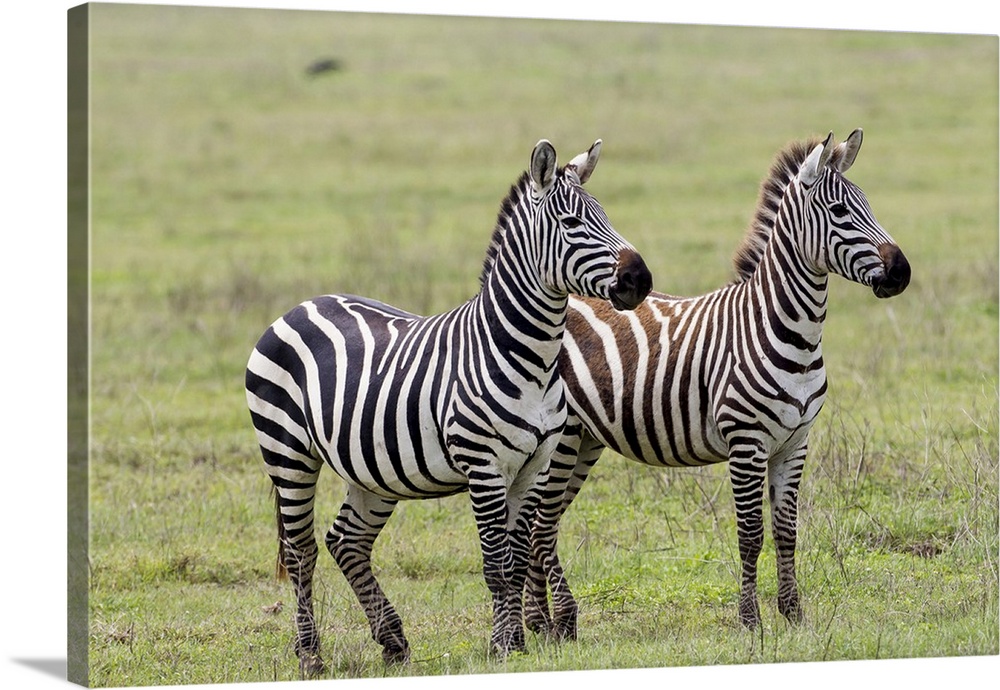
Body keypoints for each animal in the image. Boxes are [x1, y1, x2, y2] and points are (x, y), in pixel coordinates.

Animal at [246, 138, 656, 672]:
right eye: (572, 224)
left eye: (605, 215)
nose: (640, 279)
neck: (529, 357)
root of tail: (300, 305)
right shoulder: (483, 467)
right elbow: (497, 563)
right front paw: (503, 646)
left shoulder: (534, 465)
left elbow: (517, 559)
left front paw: (516, 642)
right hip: (287, 454)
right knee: (301, 553)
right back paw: (311, 656)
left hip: (373, 469)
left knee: (347, 541)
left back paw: (393, 641)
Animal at [528, 130, 912, 640]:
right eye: (839, 212)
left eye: (866, 204)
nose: (902, 272)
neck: (787, 328)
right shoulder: (746, 443)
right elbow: (751, 535)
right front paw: (750, 621)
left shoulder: (795, 443)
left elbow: (787, 530)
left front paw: (793, 614)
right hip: (563, 441)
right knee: (538, 526)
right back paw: (550, 624)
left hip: (585, 441)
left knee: (540, 524)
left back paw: (542, 626)